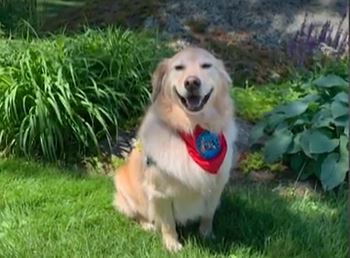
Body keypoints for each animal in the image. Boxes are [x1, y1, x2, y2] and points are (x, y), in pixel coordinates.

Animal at [113, 46, 237, 252]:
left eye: (206, 65)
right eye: (179, 67)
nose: (192, 82)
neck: (192, 128)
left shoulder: (217, 184)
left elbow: (208, 215)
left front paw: (207, 235)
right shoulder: (160, 192)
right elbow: (168, 223)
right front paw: (172, 244)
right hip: (124, 188)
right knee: (139, 213)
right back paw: (147, 225)